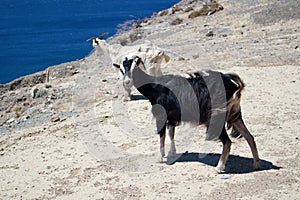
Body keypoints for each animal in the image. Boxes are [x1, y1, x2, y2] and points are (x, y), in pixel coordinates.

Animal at [129, 55, 260, 173]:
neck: (154, 87)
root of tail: (235, 87)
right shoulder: (172, 118)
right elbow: (171, 133)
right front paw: (172, 153)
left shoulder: (161, 116)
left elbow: (162, 135)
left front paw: (160, 158)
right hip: (235, 115)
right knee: (249, 137)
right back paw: (256, 164)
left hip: (216, 118)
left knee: (227, 142)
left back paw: (219, 168)